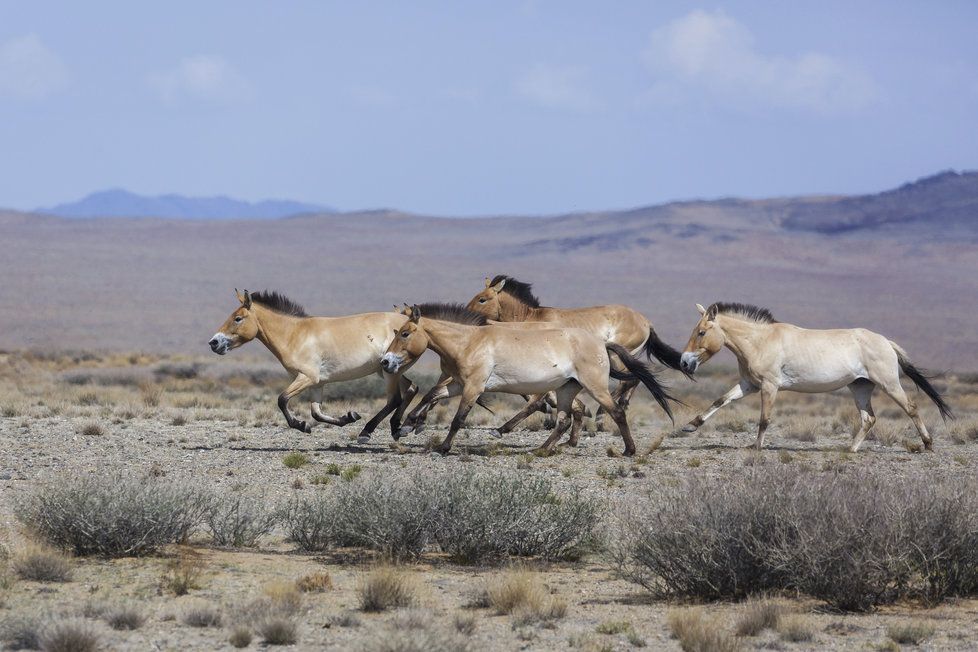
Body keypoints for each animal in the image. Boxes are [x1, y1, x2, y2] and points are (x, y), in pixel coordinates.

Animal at [210, 290, 416, 444]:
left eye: (238, 318)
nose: (214, 343)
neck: (294, 334)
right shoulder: (318, 383)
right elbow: (316, 413)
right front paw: (348, 417)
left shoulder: (307, 377)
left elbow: (282, 399)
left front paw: (302, 425)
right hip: (387, 370)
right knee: (411, 388)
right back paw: (399, 428)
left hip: (389, 373)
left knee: (395, 399)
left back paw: (367, 432)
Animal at [378, 304, 676, 456]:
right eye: (397, 331)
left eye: (405, 333)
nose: (386, 361)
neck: (469, 342)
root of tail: (602, 343)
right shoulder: (459, 384)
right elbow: (432, 395)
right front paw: (407, 426)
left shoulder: (474, 387)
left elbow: (458, 419)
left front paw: (442, 448)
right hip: (567, 389)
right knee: (565, 419)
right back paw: (541, 449)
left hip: (595, 387)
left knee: (615, 411)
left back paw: (629, 450)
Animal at [466, 272, 688, 426]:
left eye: (482, 299)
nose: (467, 314)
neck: (531, 319)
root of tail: (645, 321)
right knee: (635, 379)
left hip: (617, 357)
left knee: (630, 380)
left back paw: (600, 416)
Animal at [676, 304, 948, 450]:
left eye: (701, 332)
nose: (684, 362)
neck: (760, 341)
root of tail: (886, 342)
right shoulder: (749, 385)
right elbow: (720, 401)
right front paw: (689, 426)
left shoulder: (769, 386)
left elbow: (764, 419)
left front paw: (757, 446)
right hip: (860, 387)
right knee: (869, 418)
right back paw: (850, 449)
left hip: (888, 384)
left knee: (911, 408)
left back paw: (927, 444)